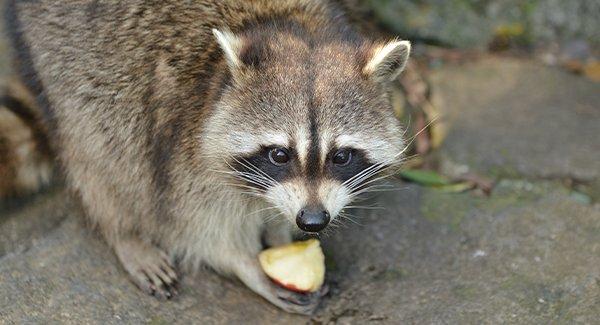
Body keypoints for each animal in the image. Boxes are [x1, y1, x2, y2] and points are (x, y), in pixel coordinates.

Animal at [4, 0, 408, 314]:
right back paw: (123, 232)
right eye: (280, 154)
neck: (289, 24)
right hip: (66, 66)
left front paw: (279, 230)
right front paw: (245, 264)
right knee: (102, 147)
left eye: (341, 156)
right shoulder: (183, 139)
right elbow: (196, 224)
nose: (312, 221)